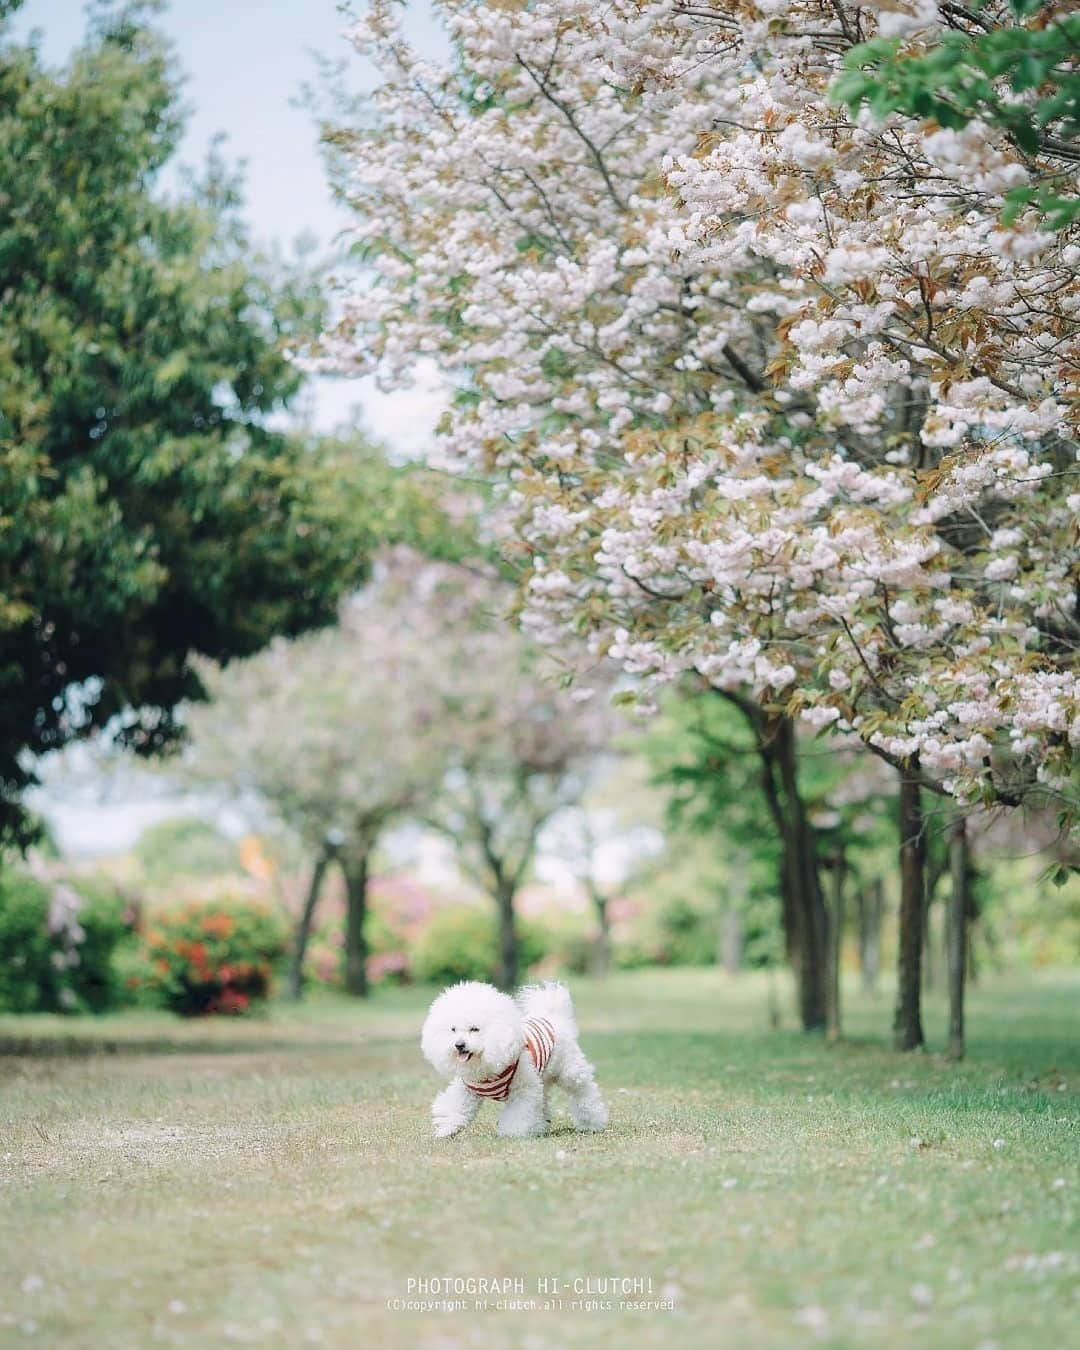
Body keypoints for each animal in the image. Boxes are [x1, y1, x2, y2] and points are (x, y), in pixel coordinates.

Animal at [418, 982, 607, 1139]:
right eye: (453, 1029)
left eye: (475, 1029)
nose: (459, 1045)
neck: (486, 1070)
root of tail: (553, 1018)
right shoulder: (468, 1089)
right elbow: (456, 1107)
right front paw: (446, 1129)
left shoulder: (524, 1089)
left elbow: (519, 1113)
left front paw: (512, 1133)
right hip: (542, 1079)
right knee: (543, 1101)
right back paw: (539, 1127)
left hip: (569, 1072)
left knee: (583, 1092)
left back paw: (591, 1122)